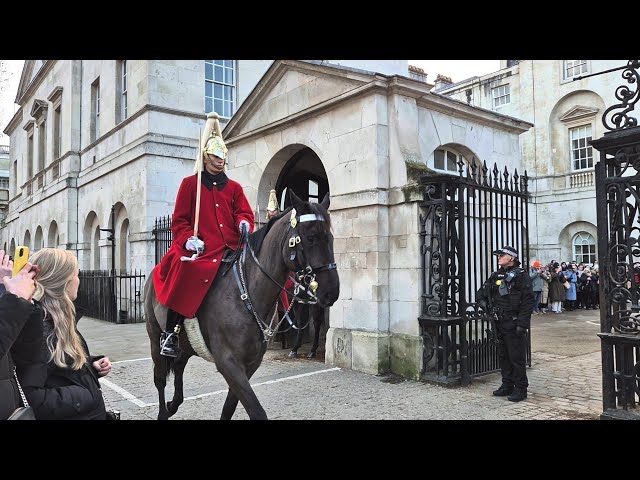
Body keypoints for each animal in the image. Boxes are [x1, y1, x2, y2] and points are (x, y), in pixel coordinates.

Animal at [144, 191, 340, 420]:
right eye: (310, 238)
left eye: (331, 238)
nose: (331, 291)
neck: (246, 295)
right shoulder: (228, 363)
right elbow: (256, 411)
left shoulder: (249, 364)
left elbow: (229, 407)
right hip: (154, 335)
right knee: (160, 377)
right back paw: (164, 410)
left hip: (186, 341)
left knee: (179, 364)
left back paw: (174, 403)